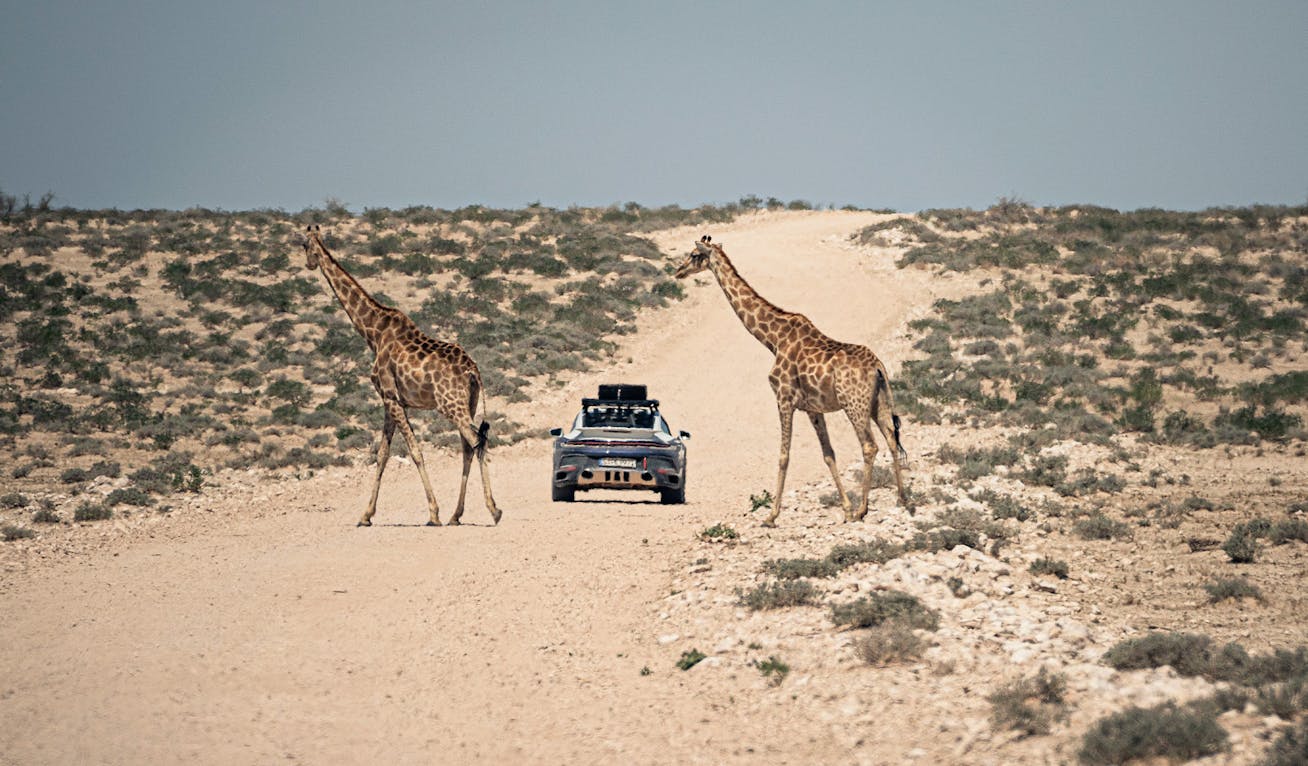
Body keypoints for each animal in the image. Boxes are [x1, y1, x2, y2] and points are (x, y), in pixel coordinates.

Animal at [301, 225, 502, 527]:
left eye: (303, 245)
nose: (309, 264)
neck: (373, 332)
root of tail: (473, 371)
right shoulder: (391, 401)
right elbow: (382, 454)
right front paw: (366, 515)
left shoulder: (390, 396)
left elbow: (414, 452)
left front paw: (432, 513)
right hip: (469, 403)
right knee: (470, 446)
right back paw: (457, 515)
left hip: (451, 405)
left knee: (477, 440)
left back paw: (493, 510)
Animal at [673, 235, 907, 527]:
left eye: (694, 255)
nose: (678, 271)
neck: (773, 339)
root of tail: (878, 367)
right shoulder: (813, 409)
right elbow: (828, 454)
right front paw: (845, 508)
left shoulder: (783, 398)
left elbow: (784, 456)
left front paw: (771, 515)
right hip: (879, 403)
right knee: (891, 439)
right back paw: (901, 500)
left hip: (855, 405)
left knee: (870, 445)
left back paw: (863, 510)